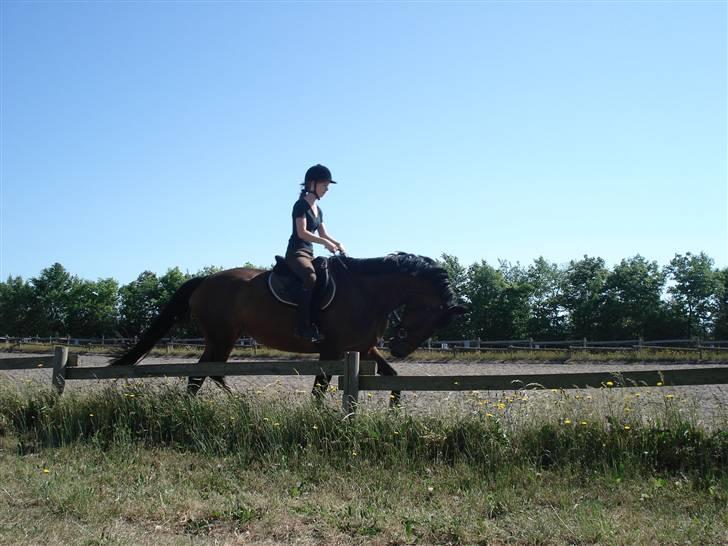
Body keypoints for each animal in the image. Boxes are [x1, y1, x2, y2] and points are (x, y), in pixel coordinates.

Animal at [111, 253, 470, 402]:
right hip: (222, 336)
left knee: (205, 374)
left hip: (222, 337)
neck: (366, 292)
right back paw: (241, 406)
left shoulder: (363, 347)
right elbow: (319, 389)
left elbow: (393, 379)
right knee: (206, 373)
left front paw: (395, 410)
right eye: (430, 315)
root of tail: (205, 280)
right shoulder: (332, 350)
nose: (401, 348)